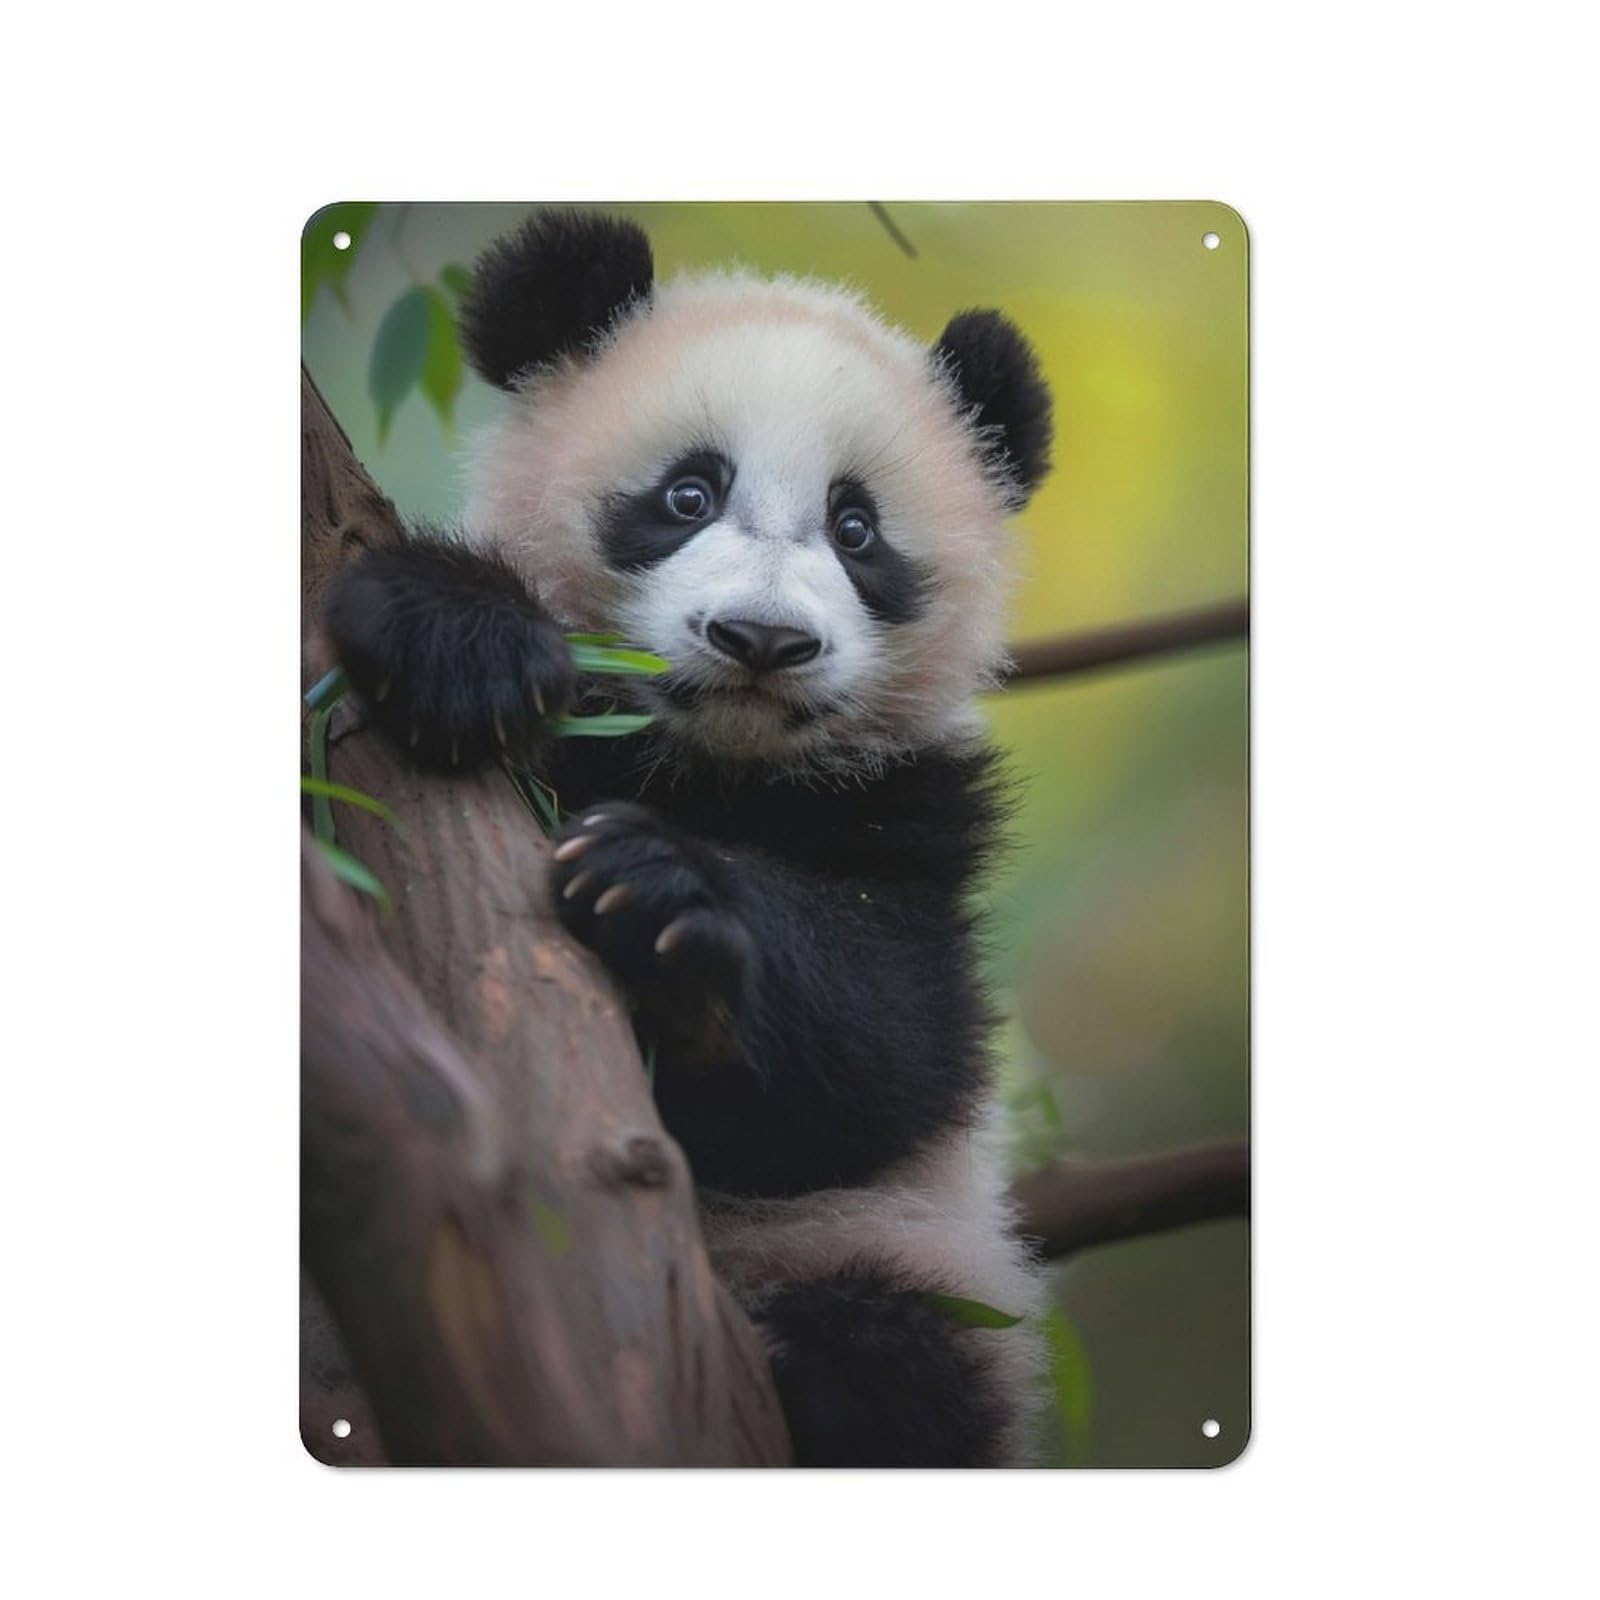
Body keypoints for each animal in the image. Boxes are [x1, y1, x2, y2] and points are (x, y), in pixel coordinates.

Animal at [325, 209, 1055, 1467]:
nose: (760, 639)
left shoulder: (913, 817)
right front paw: (459, 640)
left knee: (908, 1361)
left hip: (915, 1261)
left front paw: (662, 897)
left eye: (855, 528)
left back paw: (819, 1366)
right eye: (686, 495)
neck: (700, 761)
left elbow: (895, 1047)